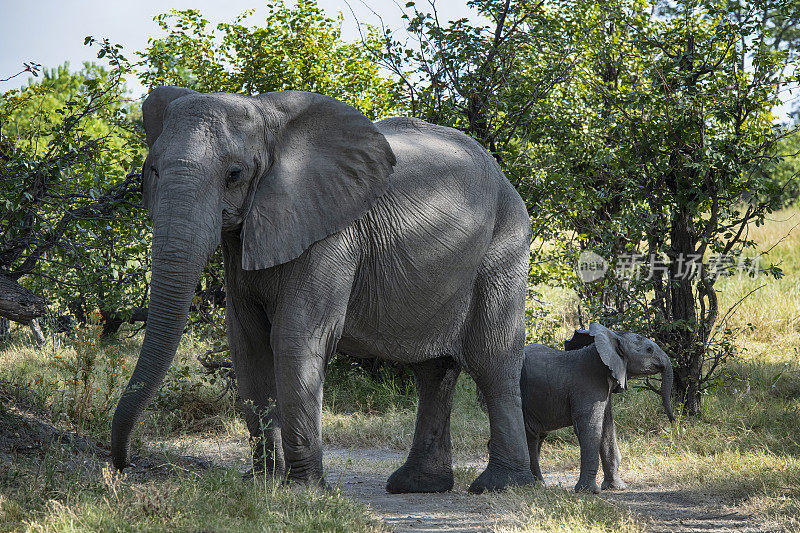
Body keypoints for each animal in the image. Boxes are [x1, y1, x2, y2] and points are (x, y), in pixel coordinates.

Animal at [111, 85, 536, 492]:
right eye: (152, 171)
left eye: (234, 174)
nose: (123, 466)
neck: (269, 121)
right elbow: (247, 343)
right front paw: (264, 483)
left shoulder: (333, 231)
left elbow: (294, 337)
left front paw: (303, 490)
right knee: (432, 371)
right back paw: (418, 485)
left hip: (504, 241)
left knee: (492, 357)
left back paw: (500, 484)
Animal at [520, 320, 672, 490]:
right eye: (649, 349)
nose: (672, 421)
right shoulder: (588, 386)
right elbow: (590, 428)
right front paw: (589, 491)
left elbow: (607, 428)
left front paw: (617, 487)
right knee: (531, 435)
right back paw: (536, 486)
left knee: (539, 436)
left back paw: (539, 484)